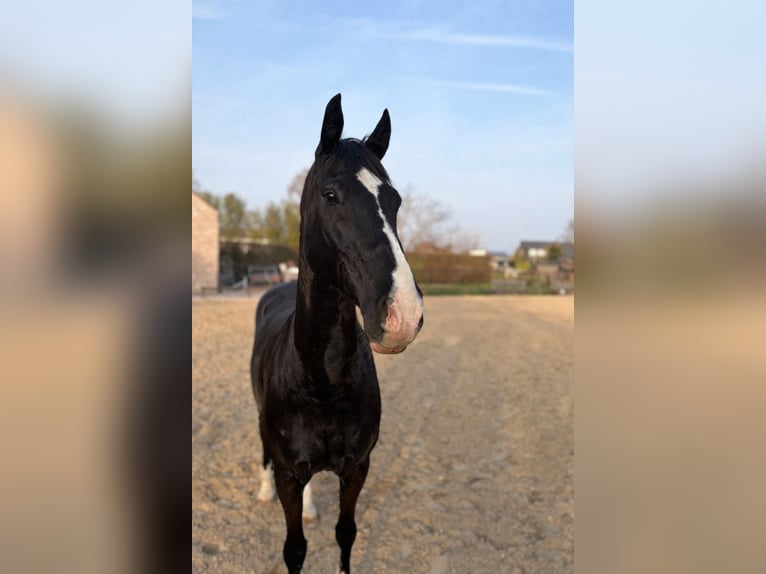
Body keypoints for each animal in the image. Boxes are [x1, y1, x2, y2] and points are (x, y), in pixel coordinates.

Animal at [250, 93, 424, 574]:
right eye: (331, 195)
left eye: (395, 200)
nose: (402, 313)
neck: (321, 383)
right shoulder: (289, 474)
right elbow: (295, 548)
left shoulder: (357, 468)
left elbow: (345, 534)